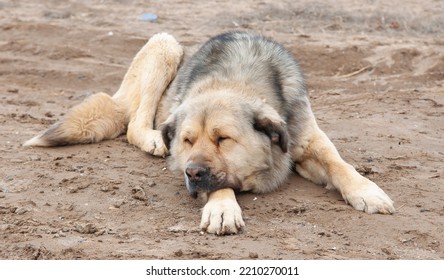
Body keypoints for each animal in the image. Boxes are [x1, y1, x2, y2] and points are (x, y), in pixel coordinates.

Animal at [23, 31, 396, 235]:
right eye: (188, 141)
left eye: (223, 139)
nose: (191, 172)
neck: (237, 78)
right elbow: (219, 185)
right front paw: (222, 208)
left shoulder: (306, 141)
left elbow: (338, 163)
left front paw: (366, 190)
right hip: (165, 45)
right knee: (133, 125)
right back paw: (154, 139)